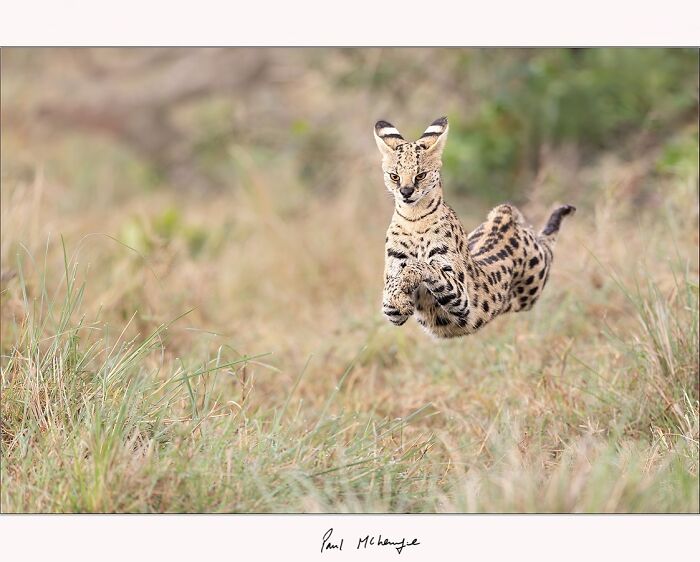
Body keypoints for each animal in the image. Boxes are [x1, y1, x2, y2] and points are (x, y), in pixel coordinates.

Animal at [374, 115, 576, 334]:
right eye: (394, 176)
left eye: (421, 175)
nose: (406, 192)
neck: (414, 218)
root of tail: (504, 216)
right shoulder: (392, 299)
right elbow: (392, 291)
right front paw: (399, 298)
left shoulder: (462, 298)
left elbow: (425, 267)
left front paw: (408, 277)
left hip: (534, 285)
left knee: (547, 244)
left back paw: (563, 210)